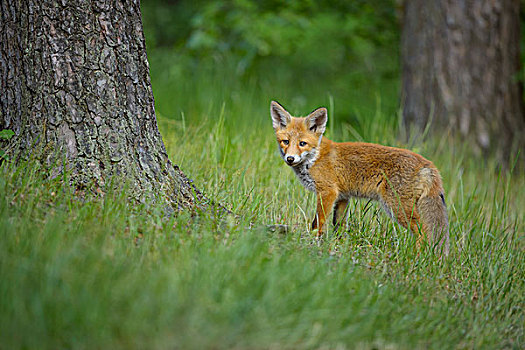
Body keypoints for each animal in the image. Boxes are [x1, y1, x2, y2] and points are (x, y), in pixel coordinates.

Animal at [270, 100, 450, 256]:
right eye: (285, 141)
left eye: (302, 143)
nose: (290, 158)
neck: (314, 158)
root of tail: (428, 163)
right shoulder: (342, 197)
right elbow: (339, 225)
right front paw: (339, 244)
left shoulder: (327, 192)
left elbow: (318, 222)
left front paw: (314, 240)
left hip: (396, 206)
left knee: (423, 232)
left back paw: (417, 256)